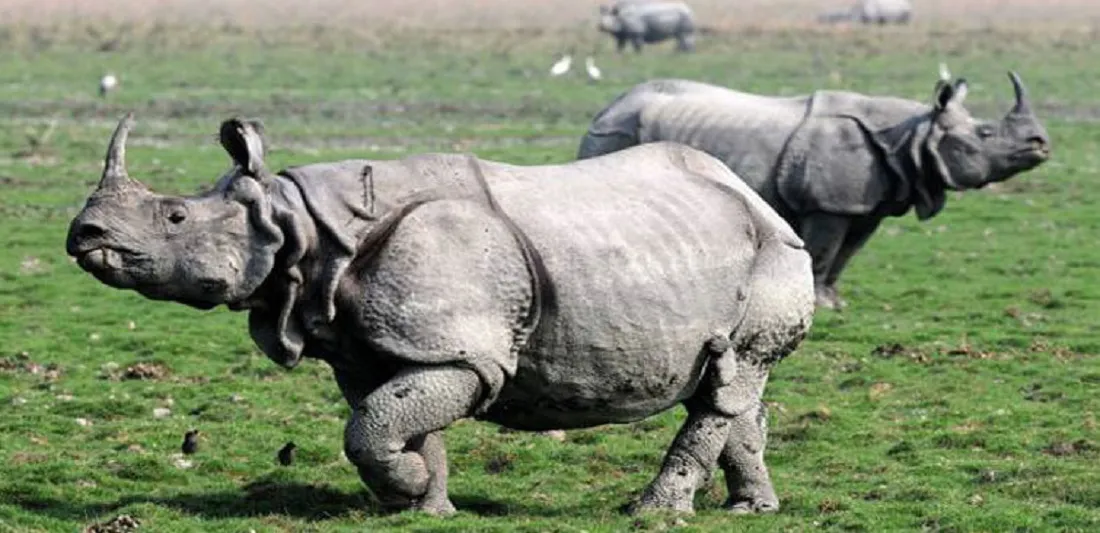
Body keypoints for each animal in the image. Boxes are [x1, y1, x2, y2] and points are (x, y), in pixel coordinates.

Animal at [62, 115, 818, 514]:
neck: (299, 225)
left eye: (174, 216)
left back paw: (650, 514)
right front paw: (423, 503)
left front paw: (410, 489)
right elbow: (391, 418)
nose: (83, 235)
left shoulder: (461, 349)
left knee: (730, 381)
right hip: (729, 247)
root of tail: (754, 195)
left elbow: (373, 425)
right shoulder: (383, 348)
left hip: (774, 252)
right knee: (731, 380)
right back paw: (750, 510)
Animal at [576, 71, 1047, 312]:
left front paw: (836, 302)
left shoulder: (867, 207)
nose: (1041, 144)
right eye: (986, 134)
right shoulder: (829, 205)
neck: (912, 133)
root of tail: (606, 108)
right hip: (614, 133)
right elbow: (823, 251)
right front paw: (820, 304)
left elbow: (846, 254)